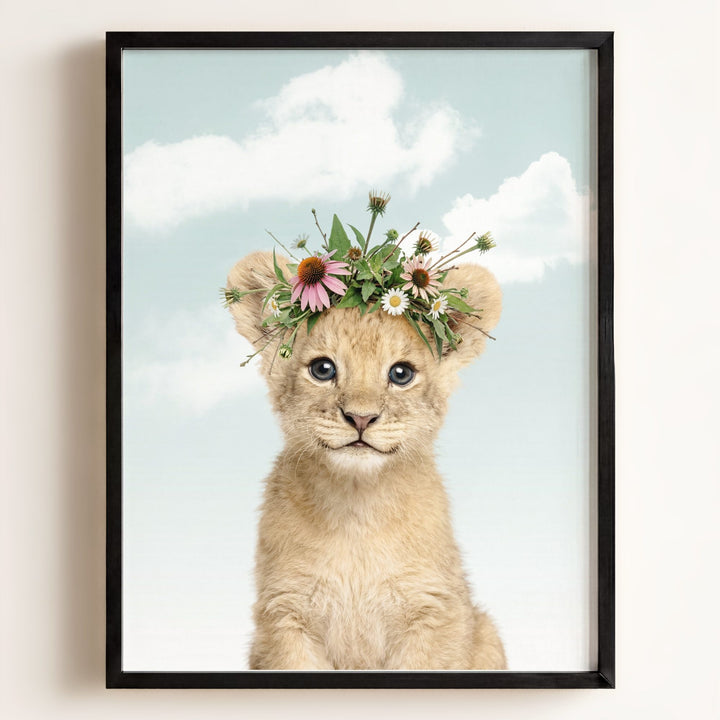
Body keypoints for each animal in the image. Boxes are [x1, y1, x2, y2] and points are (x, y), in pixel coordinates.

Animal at [226, 250, 506, 670]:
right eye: (322, 369)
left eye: (401, 373)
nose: (360, 418)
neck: (356, 509)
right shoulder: (285, 615)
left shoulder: (434, 612)